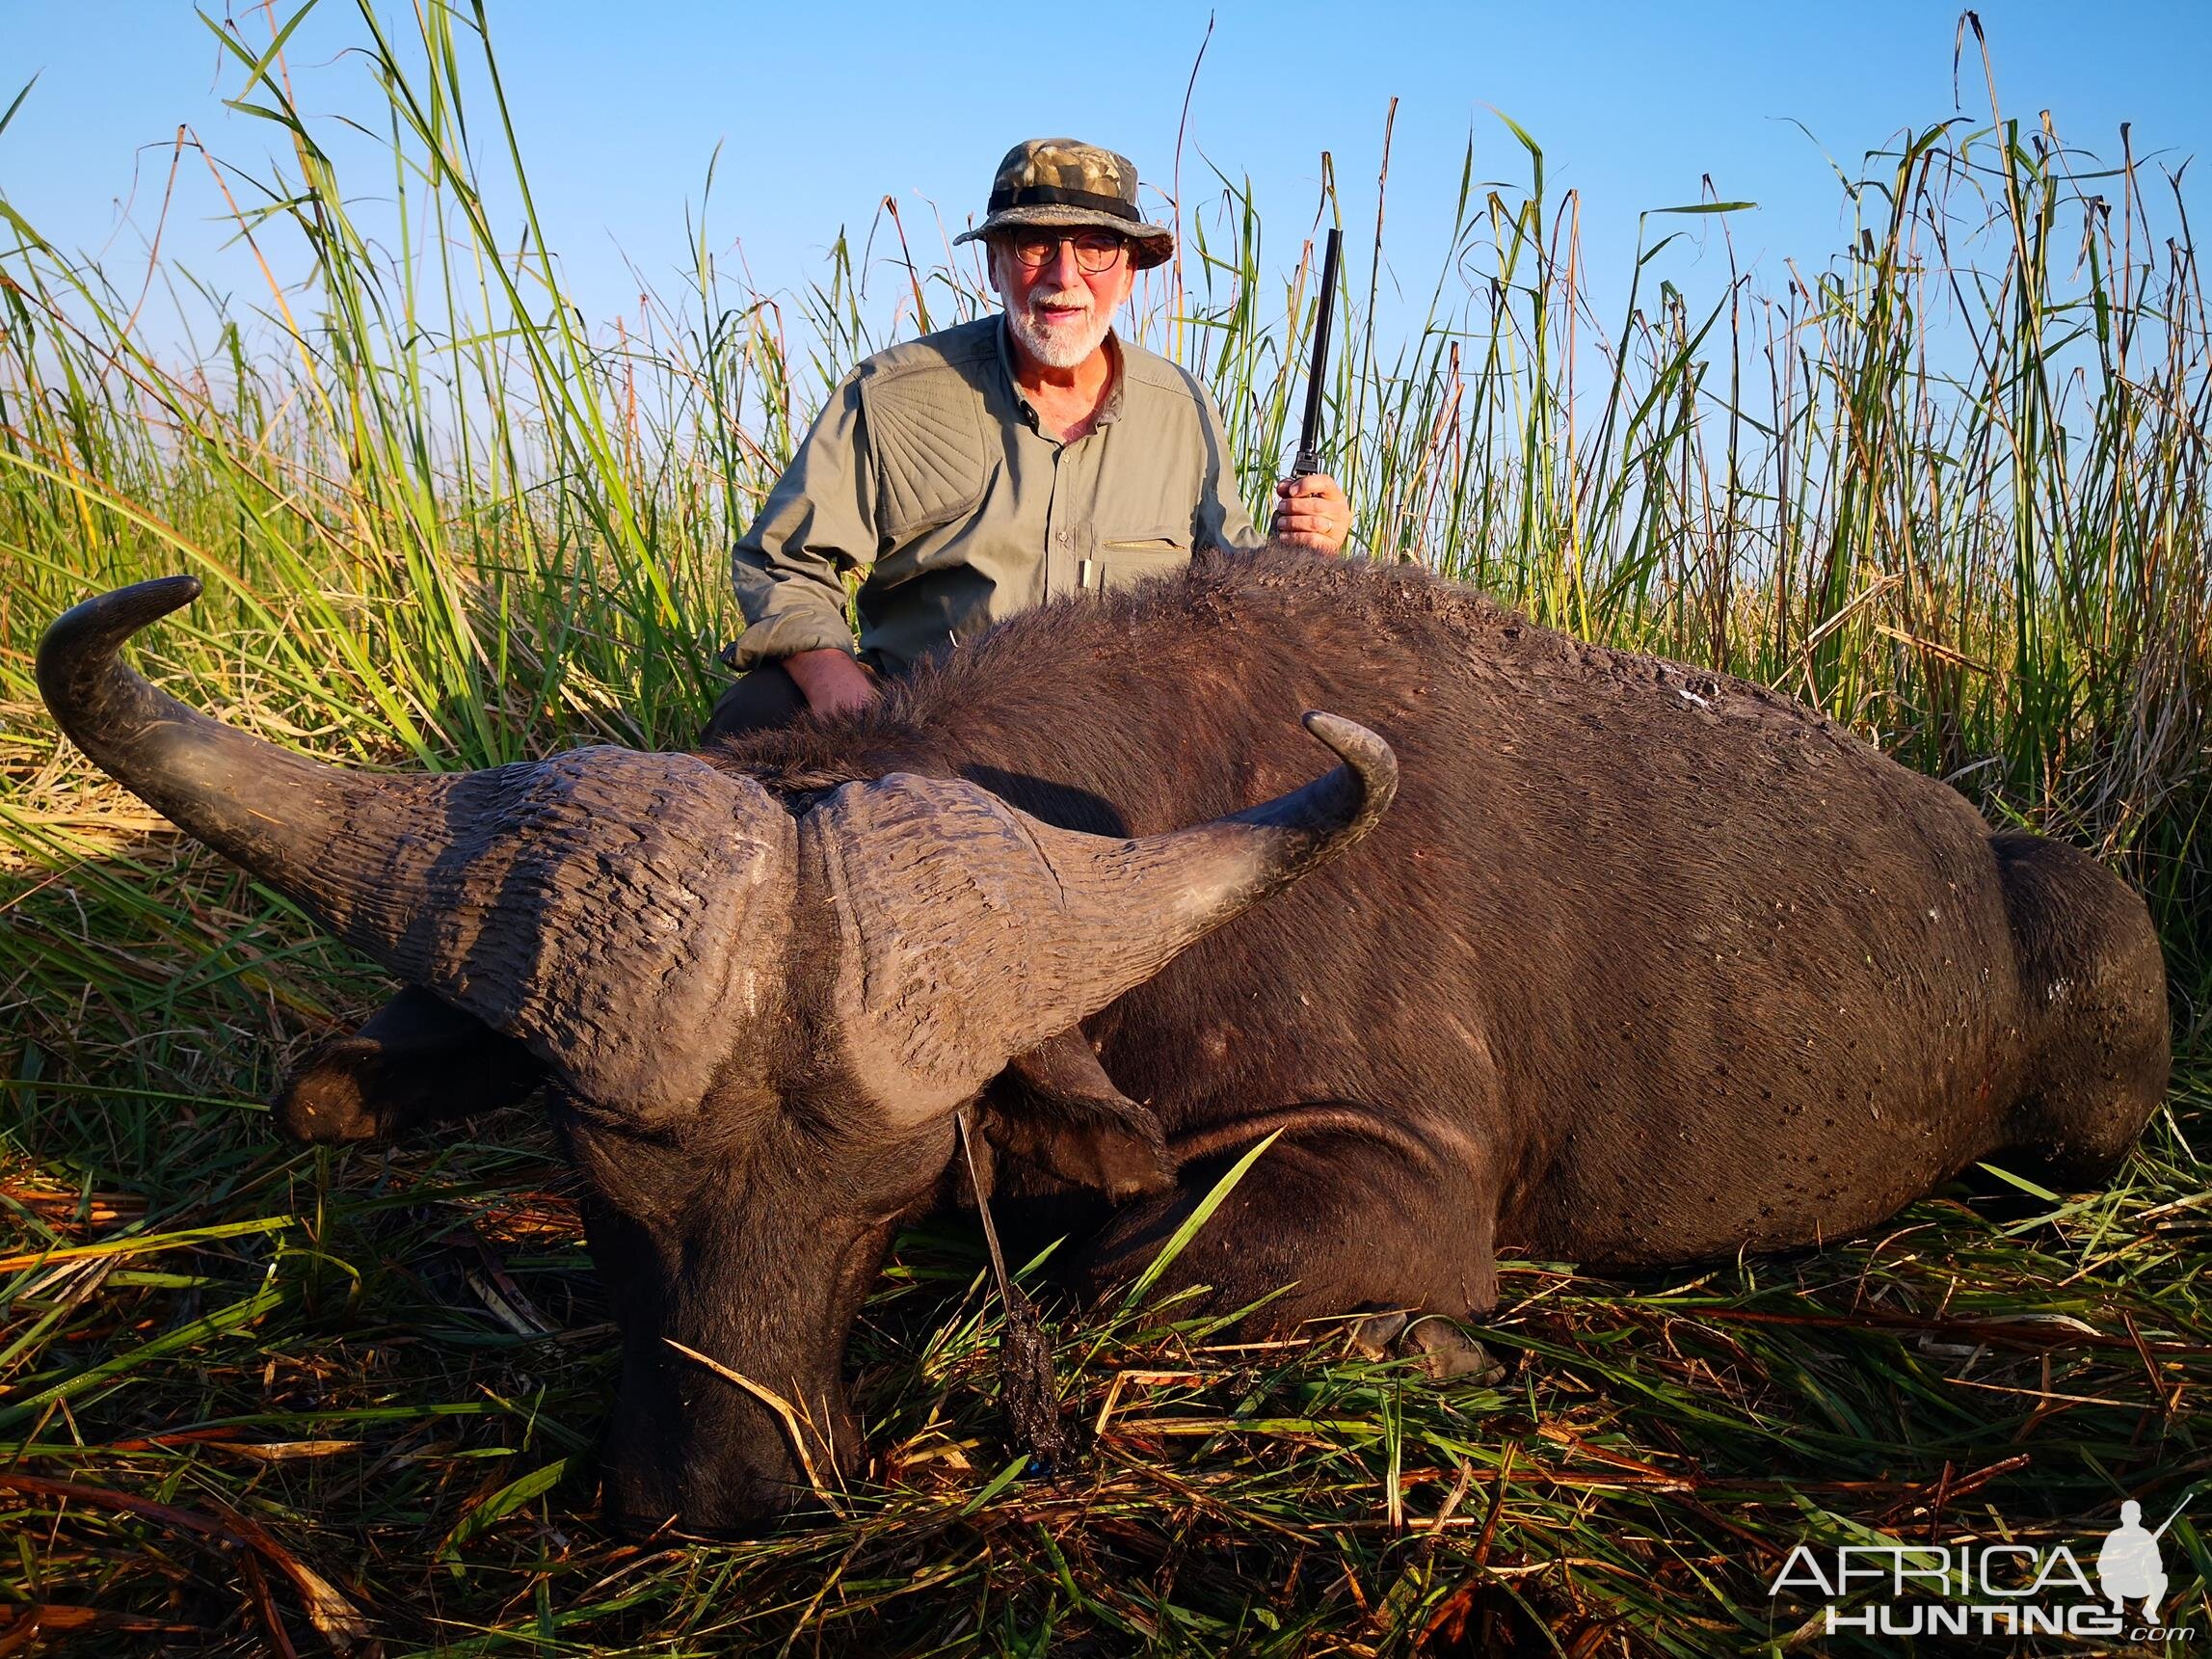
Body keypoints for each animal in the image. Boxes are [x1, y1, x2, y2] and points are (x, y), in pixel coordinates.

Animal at [34, 552, 2168, 1539]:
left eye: (898, 1187)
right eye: (588, 1161)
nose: (730, 1487)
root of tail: (2001, 858)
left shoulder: (1394, 1180)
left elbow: (1109, 1278)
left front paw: (1422, 1358)